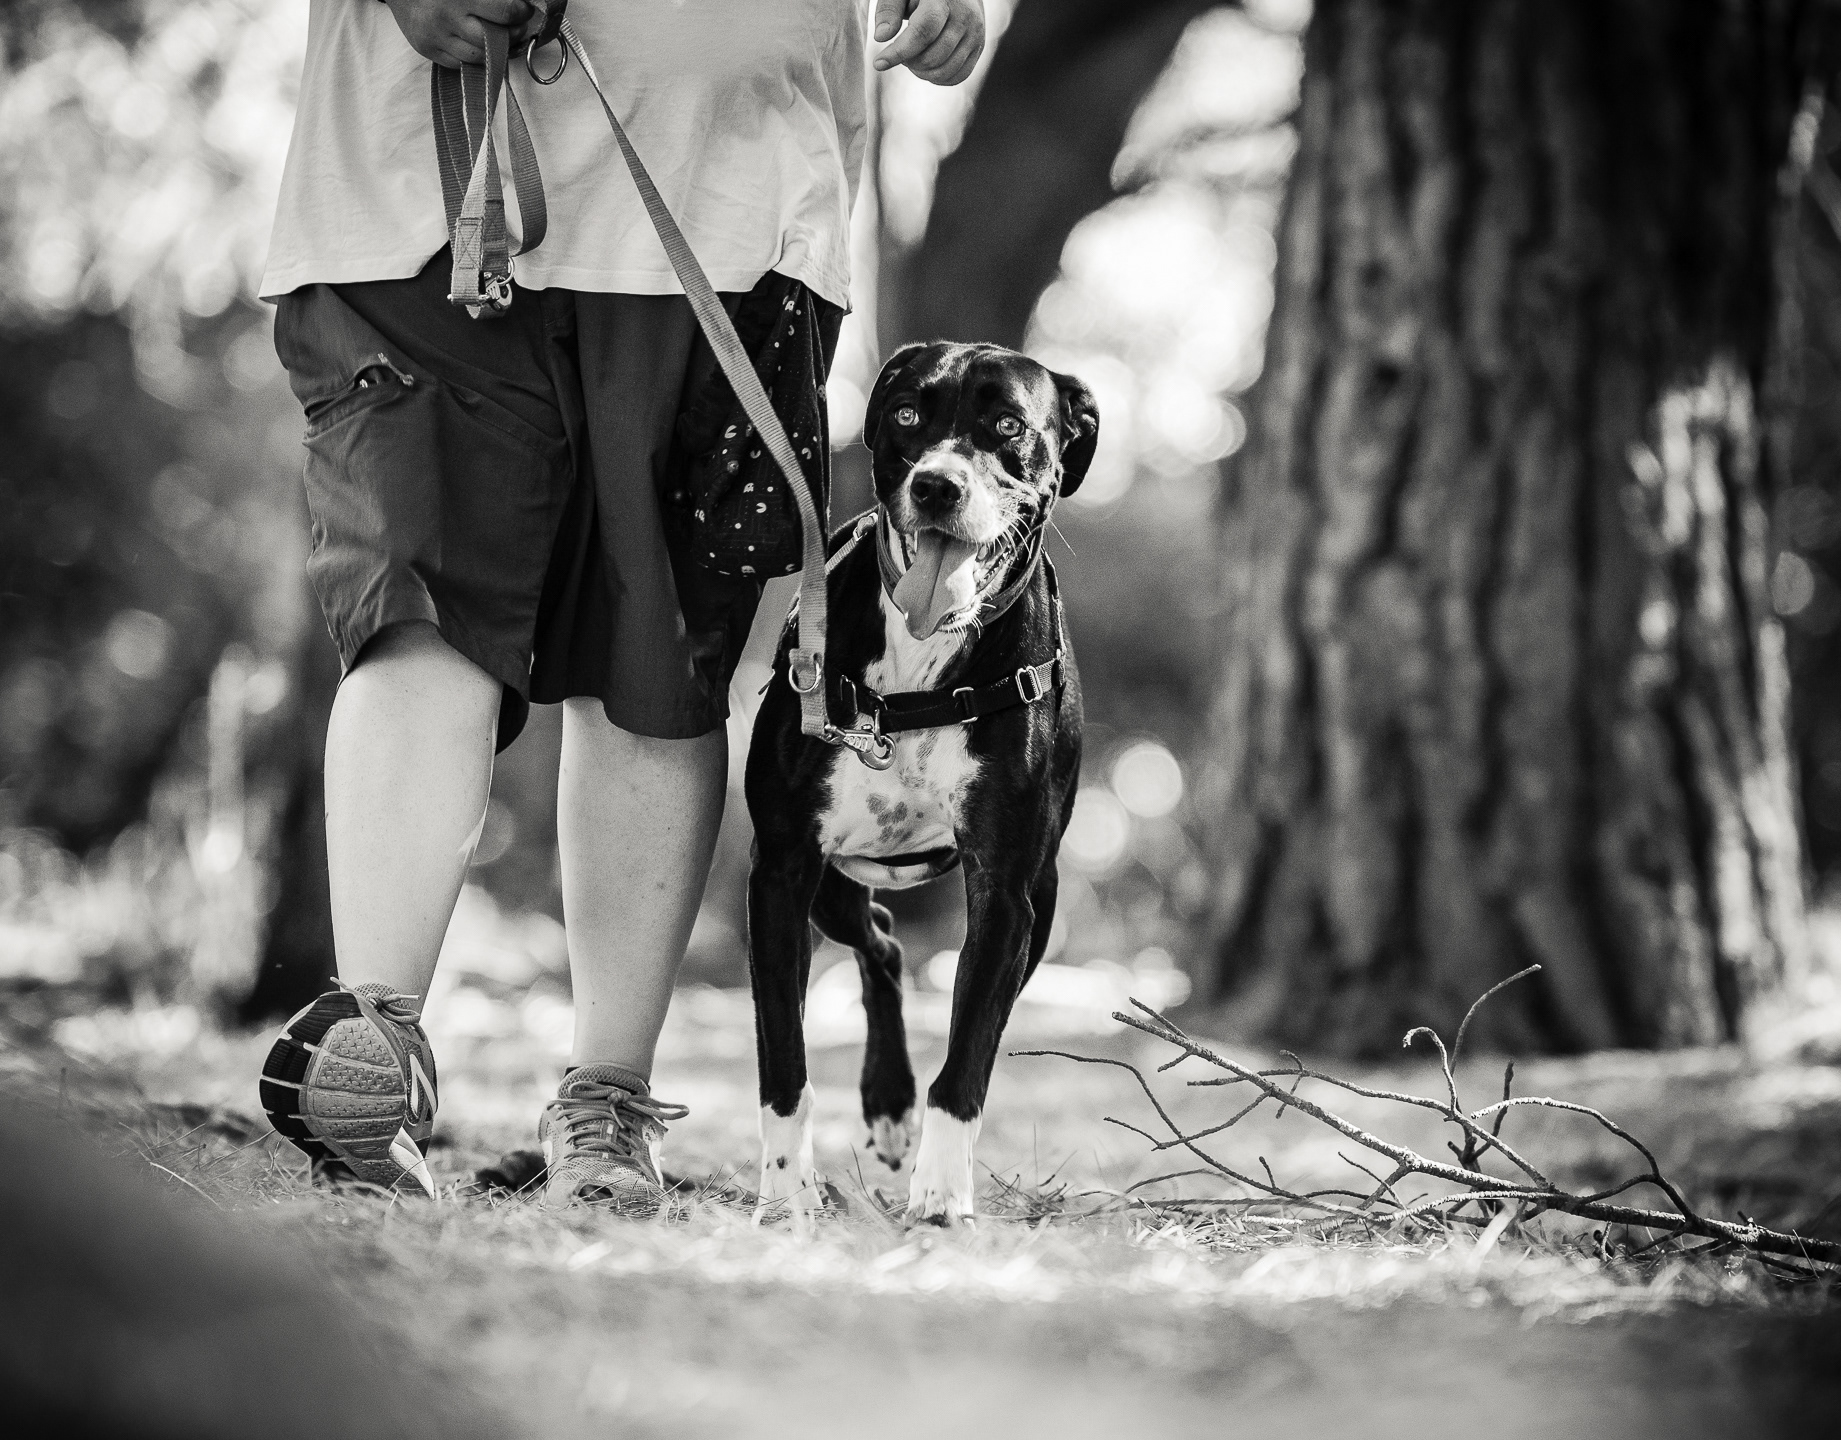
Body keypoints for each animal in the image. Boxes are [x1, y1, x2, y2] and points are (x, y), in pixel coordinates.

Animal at [744, 339, 1098, 1224]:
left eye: (1007, 425)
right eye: (907, 413)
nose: (938, 485)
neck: (921, 670)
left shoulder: (1006, 895)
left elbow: (968, 1053)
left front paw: (941, 1195)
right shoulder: (780, 874)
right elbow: (784, 1059)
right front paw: (785, 1194)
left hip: (1040, 907)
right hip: (829, 887)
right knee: (879, 939)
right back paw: (885, 1103)